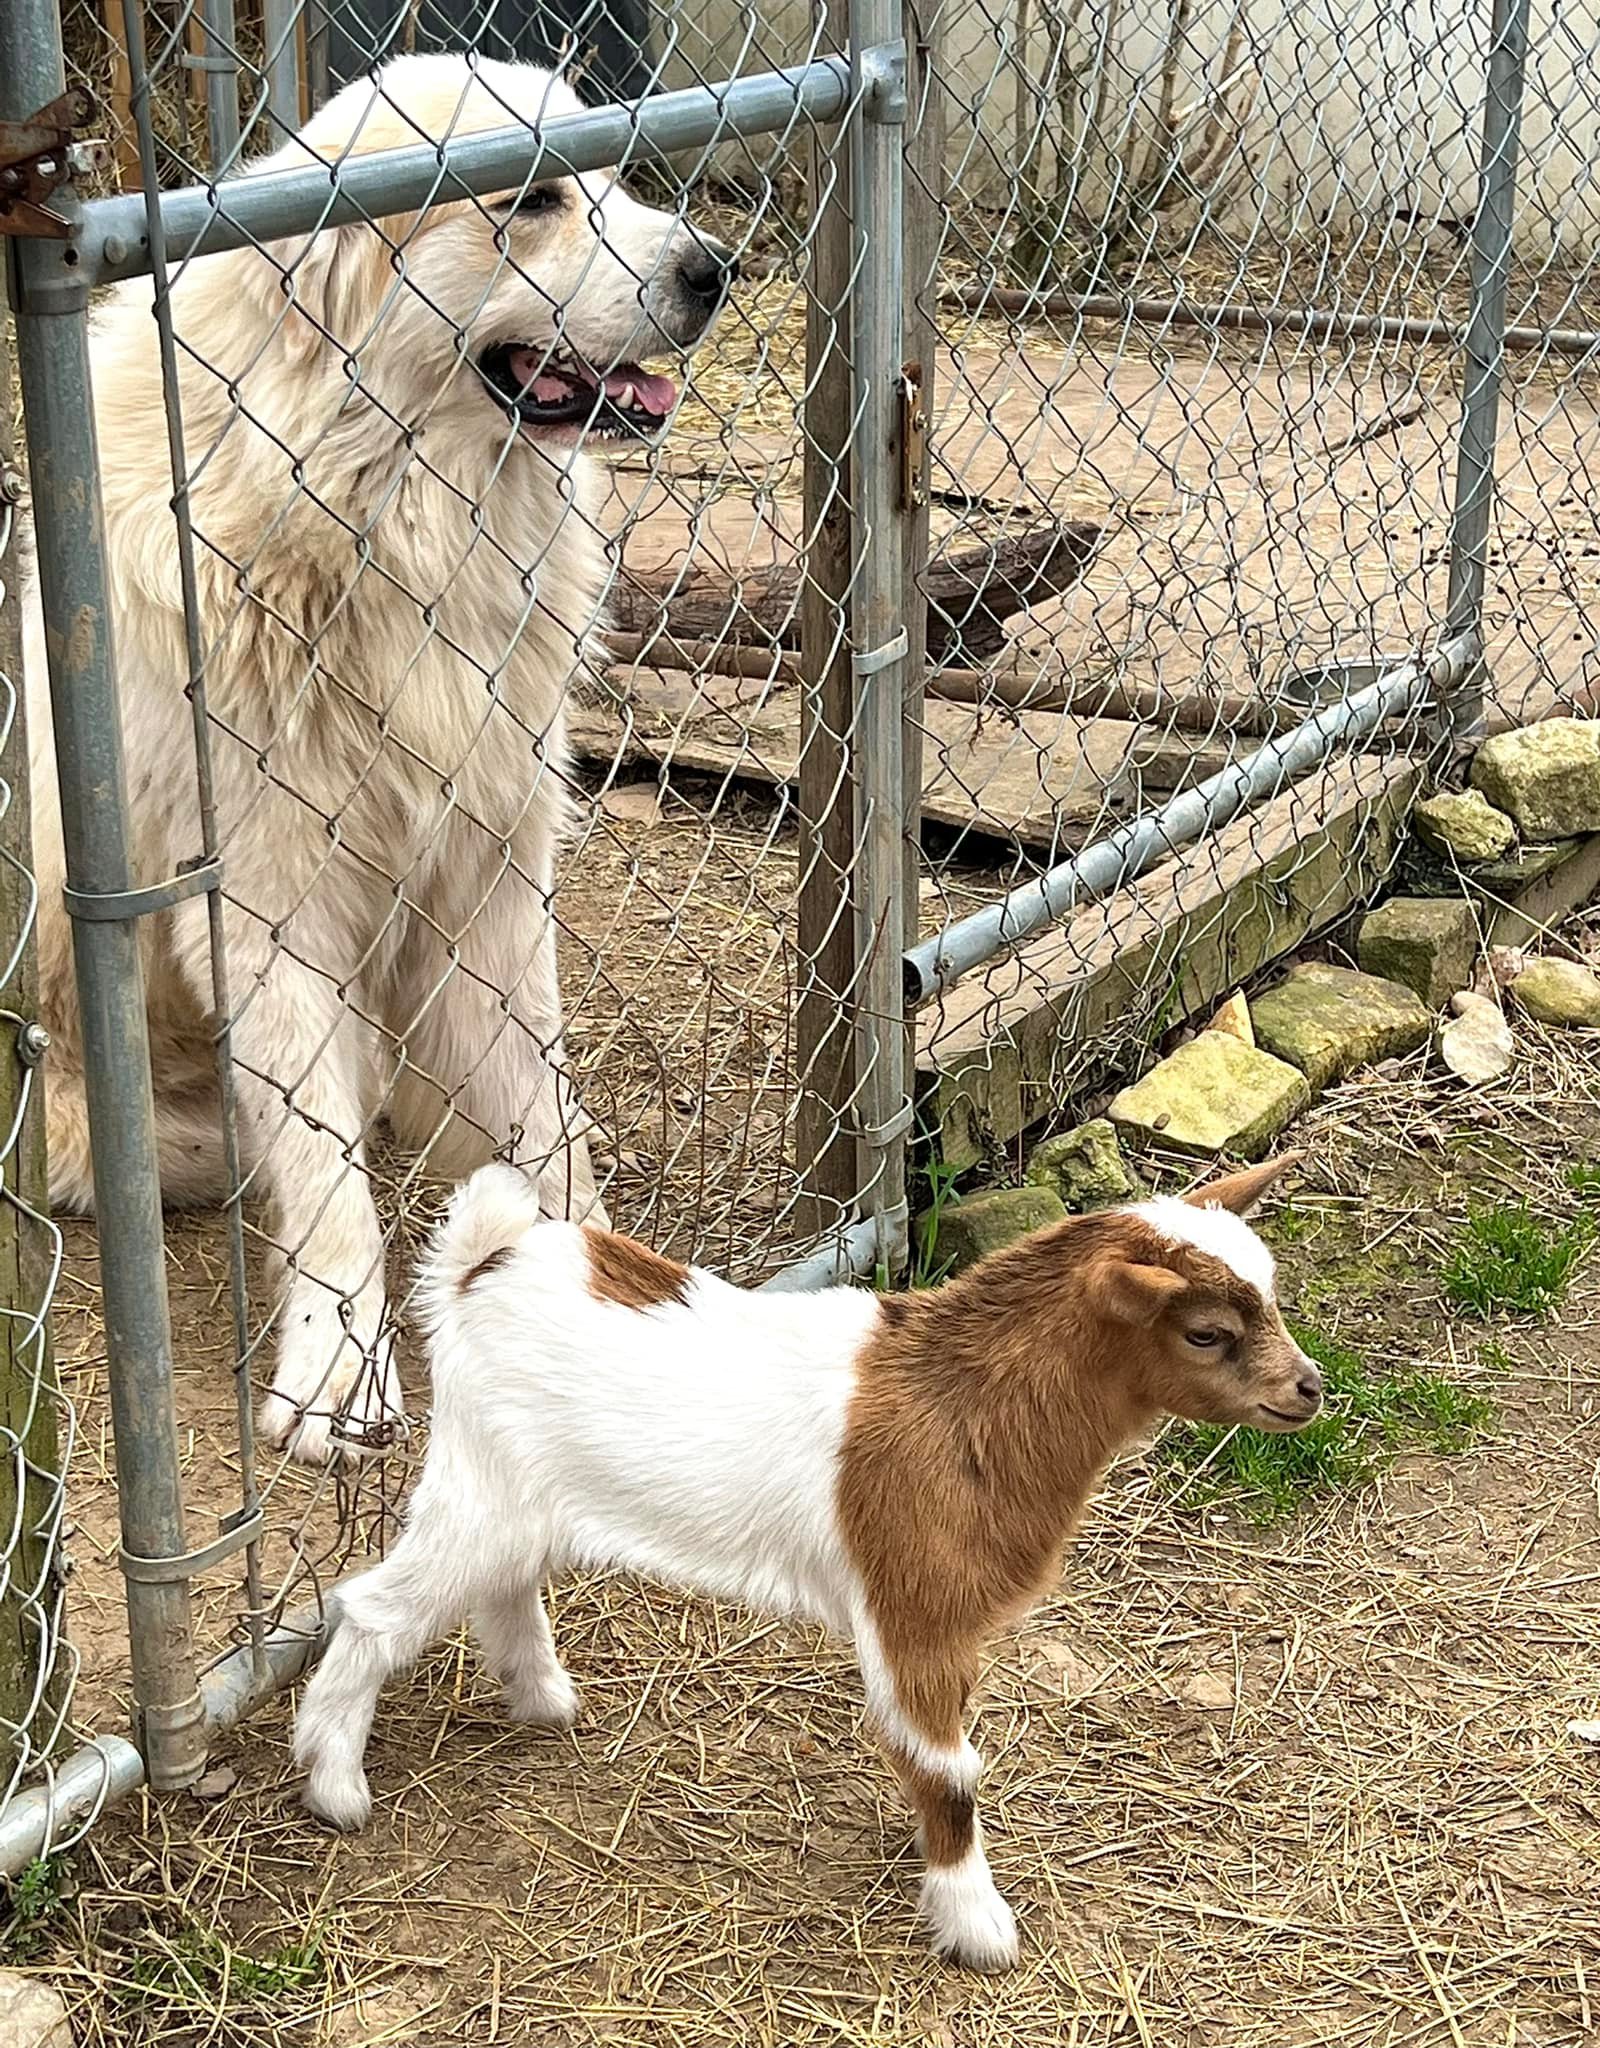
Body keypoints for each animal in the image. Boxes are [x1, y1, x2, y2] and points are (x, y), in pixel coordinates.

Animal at [293, 1152, 1320, 1969]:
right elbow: (949, 1771)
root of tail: (483, 1265)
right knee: (373, 1607)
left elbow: (938, 1759)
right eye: (1206, 1333)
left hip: (518, 1499)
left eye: (1271, 1298)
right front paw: (977, 1926)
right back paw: (337, 1788)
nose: (1308, 1390)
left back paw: (544, 1699)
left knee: (502, 1588)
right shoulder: (915, 1610)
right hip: (481, 1490)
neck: (964, 1404)